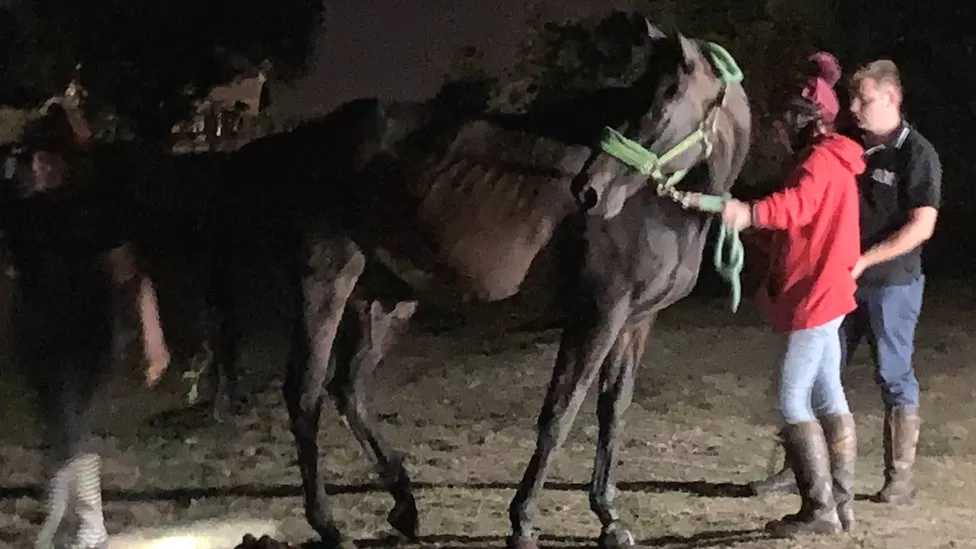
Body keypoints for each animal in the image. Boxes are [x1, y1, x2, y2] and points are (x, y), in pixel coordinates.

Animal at [206, 19, 752, 548]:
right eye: (641, 93)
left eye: (666, 97)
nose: (589, 189)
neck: (661, 209)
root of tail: (292, 143)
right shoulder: (597, 314)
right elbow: (560, 412)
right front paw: (523, 521)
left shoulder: (636, 320)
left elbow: (612, 412)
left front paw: (608, 518)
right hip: (324, 286)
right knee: (305, 396)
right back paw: (330, 525)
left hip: (384, 301)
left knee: (348, 390)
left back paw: (404, 504)